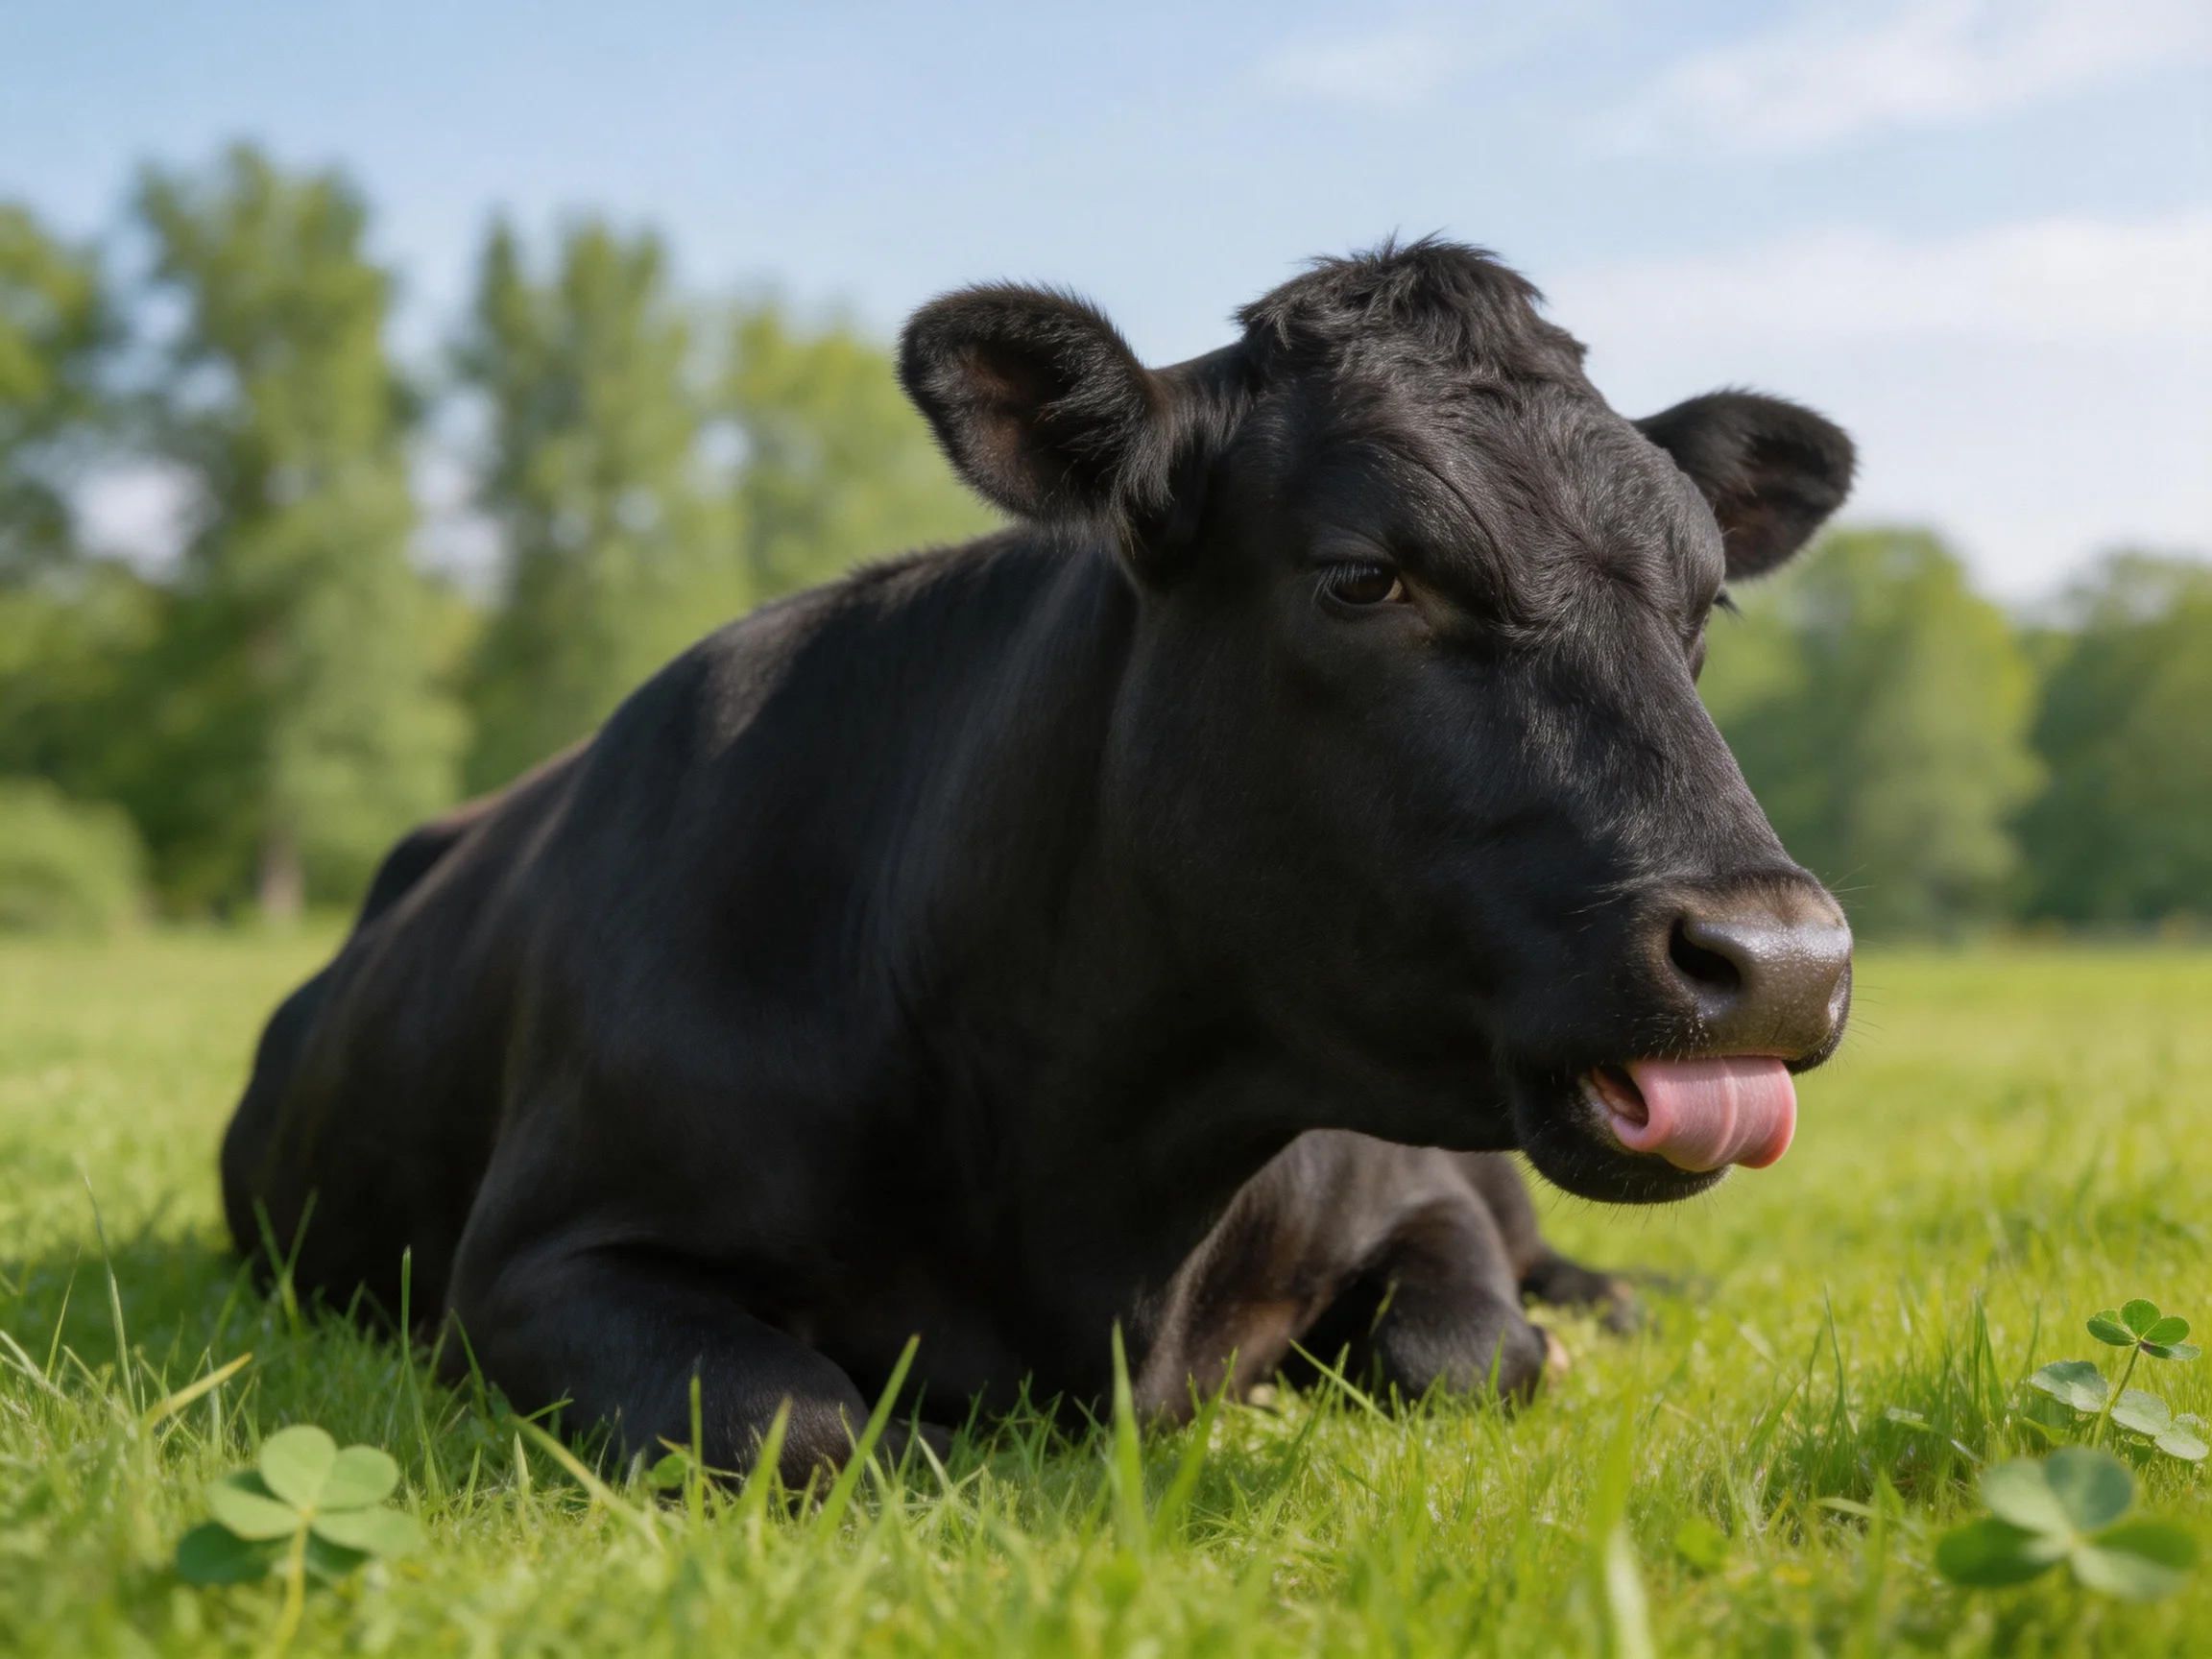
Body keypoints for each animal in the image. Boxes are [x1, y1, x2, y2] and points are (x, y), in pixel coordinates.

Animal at [221, 239, 1855, 1478]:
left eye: (1706, 603)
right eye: (1362, 575)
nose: (1783, 959)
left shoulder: (1422, 1197)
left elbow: (1467, 1349)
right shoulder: (538, 1259)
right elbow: (796, 1419)